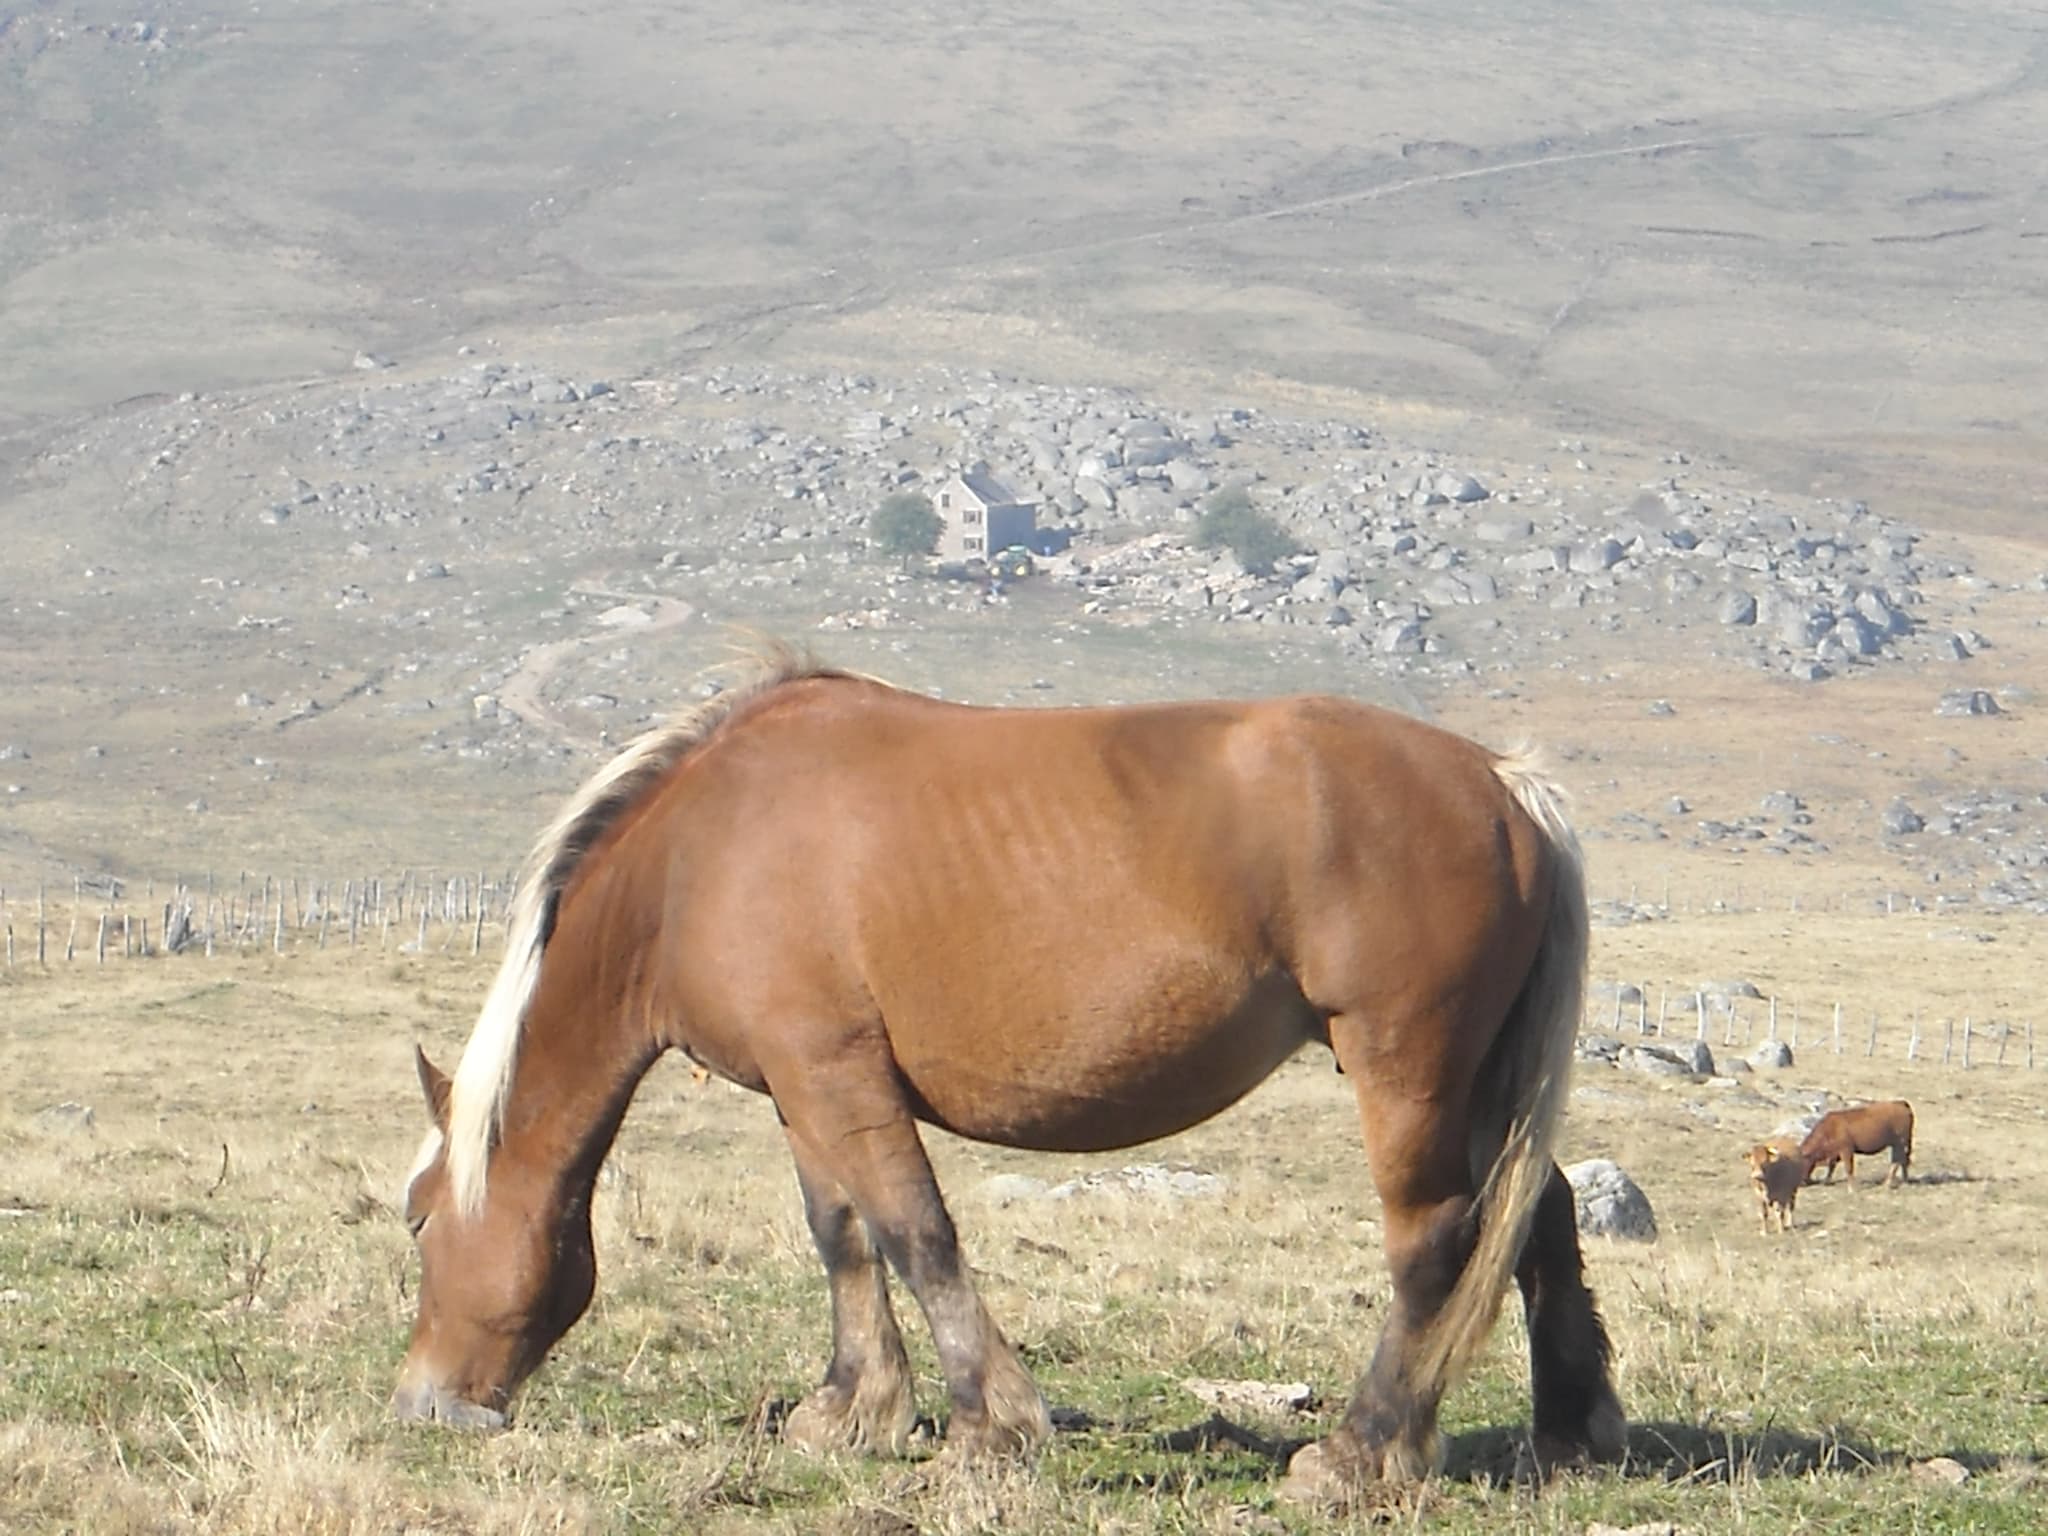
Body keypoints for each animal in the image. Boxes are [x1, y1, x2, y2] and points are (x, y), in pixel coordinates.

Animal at [393, 645, 1624, 1504]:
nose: (423, 1403)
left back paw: (1359, 1452)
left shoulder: (841, 1078)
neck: (700, 852)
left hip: (1404, 1069)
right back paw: (1572, 1426)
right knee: (1540, 1213)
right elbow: (843, 1238)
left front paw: (988, 1427)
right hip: (1480, 1085)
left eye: (416, 1222)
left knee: (1435, 1241)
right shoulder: (802, 1089)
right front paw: (851, 1410)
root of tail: (1503, 785)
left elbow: (916, 1233)